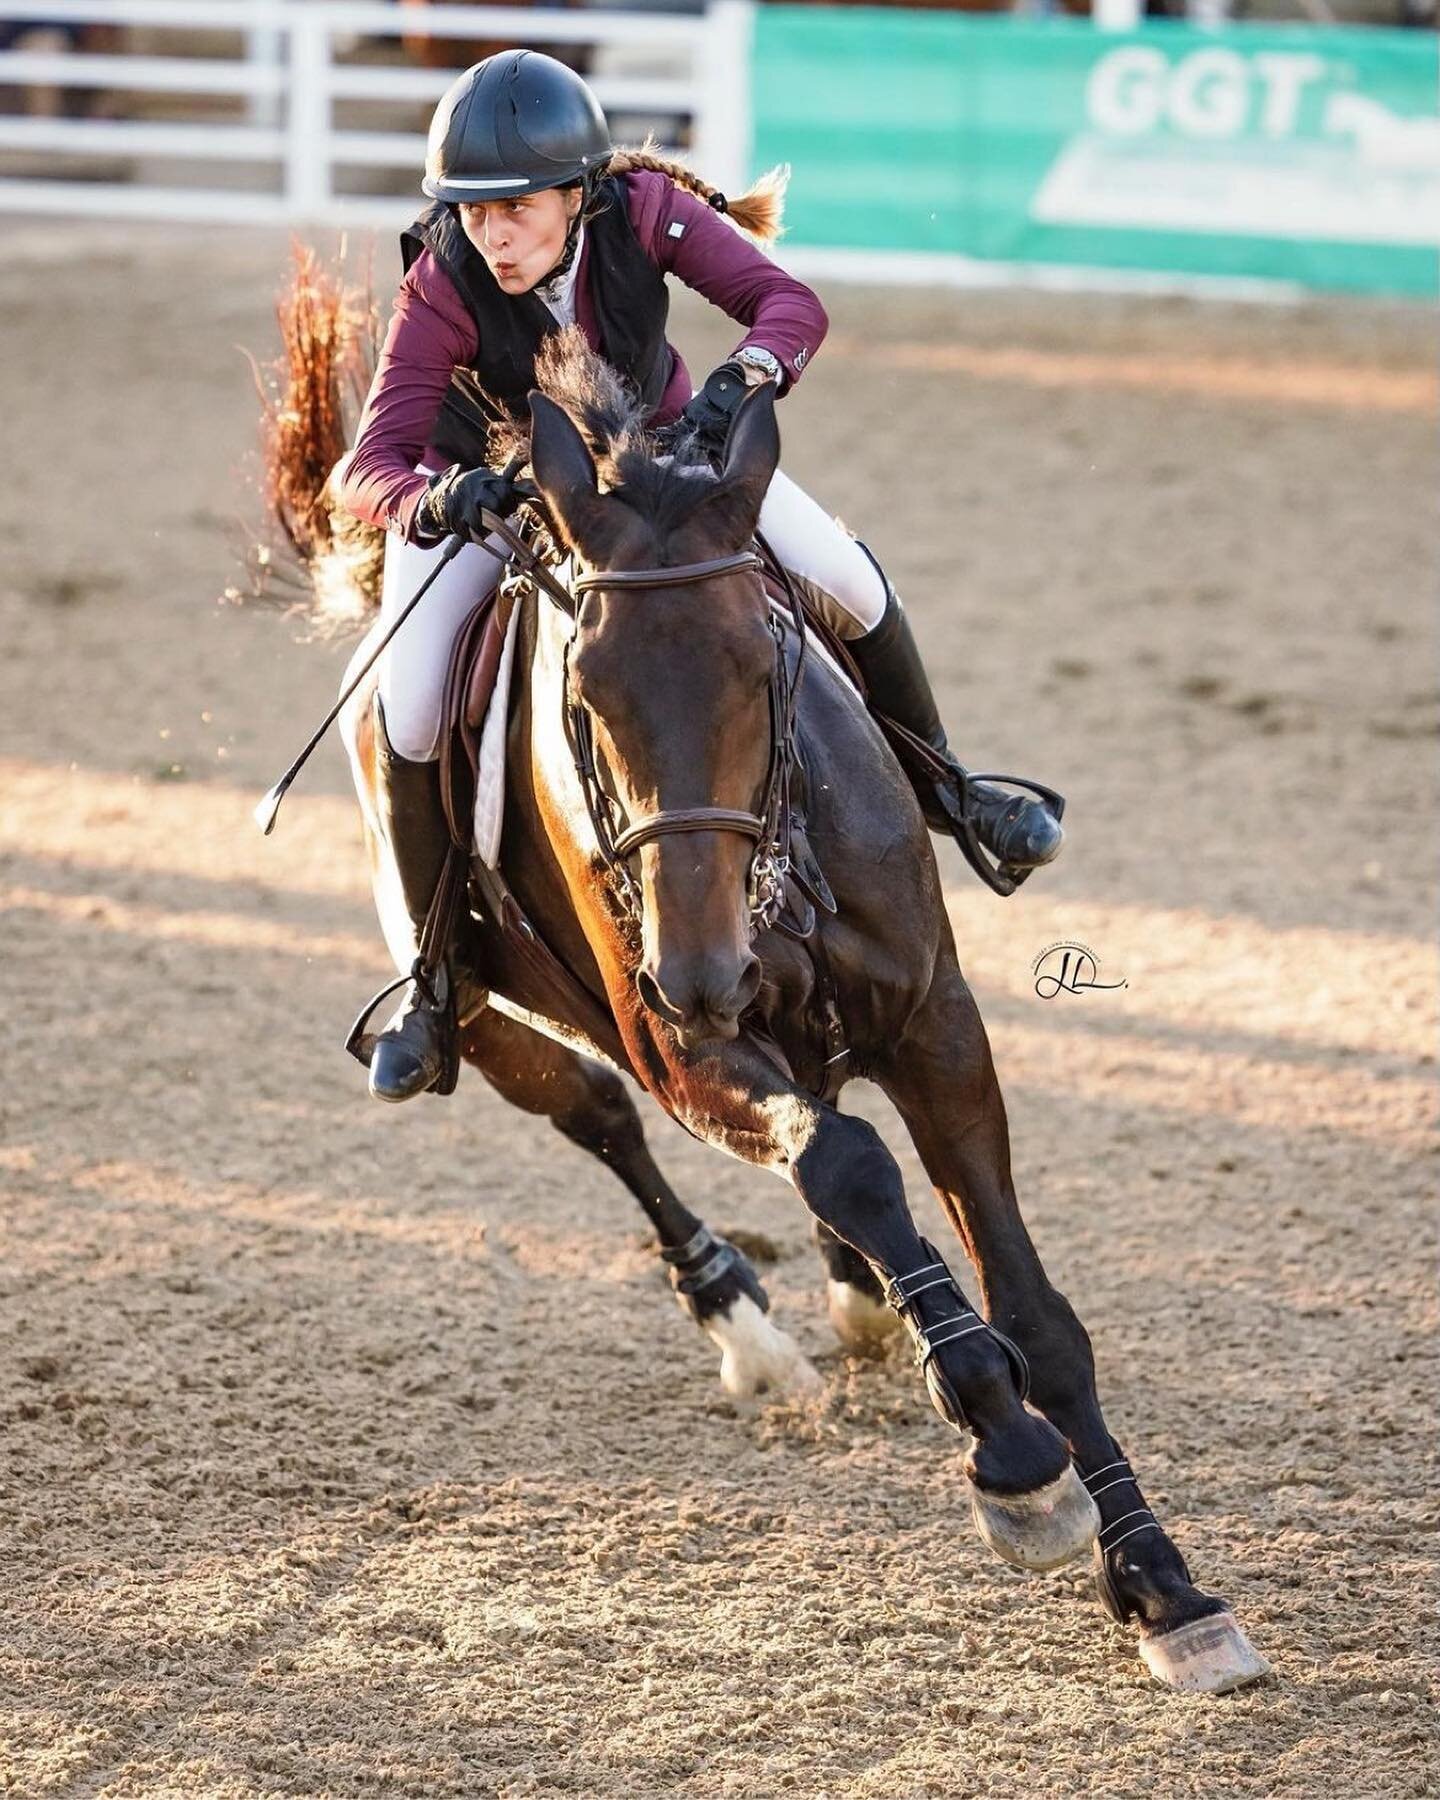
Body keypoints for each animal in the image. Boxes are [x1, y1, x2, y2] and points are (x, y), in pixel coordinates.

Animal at [331, 331, 1267, 1692]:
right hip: (487, 1003)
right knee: (603, 1117)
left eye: (760, 659)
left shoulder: (937, 1026)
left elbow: (1033, 1309)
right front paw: (1012, 1457)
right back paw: (746, 1319)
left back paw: (866, 1299)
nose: (701, 966)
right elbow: (846, 1163)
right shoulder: (687, 1051)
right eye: (582, 691)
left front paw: (1162, 1585)